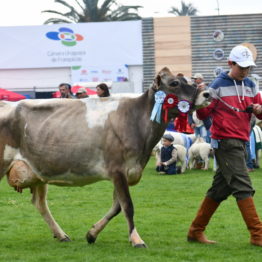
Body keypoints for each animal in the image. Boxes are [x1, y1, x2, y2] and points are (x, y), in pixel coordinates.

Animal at [0, 66, 209, 247]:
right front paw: (136, 239)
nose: (206, 94)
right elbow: (127, 205)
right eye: (174, 83)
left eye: (189, 80)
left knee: (40, 203)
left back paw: (61, 235)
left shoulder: (127, 172)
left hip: (39, 171)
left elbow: (117, 207)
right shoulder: (117, 169)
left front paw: (92, 234)